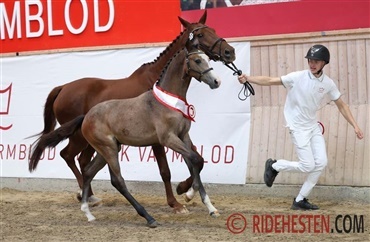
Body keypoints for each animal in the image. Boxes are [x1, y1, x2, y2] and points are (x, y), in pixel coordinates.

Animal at [30, 10, 236, 214]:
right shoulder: (158, 140)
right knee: (68, 155)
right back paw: (88, 196)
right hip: (79, 137)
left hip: (91, 141)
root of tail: (63, 88)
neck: (156, 81)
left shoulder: (177, 134)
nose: (230, 52)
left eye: (213, 29)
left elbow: (195, 159)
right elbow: (166, 170)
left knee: (81, 161)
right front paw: (176, 202)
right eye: (200, 34)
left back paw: (88, 195)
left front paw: (185, 190)